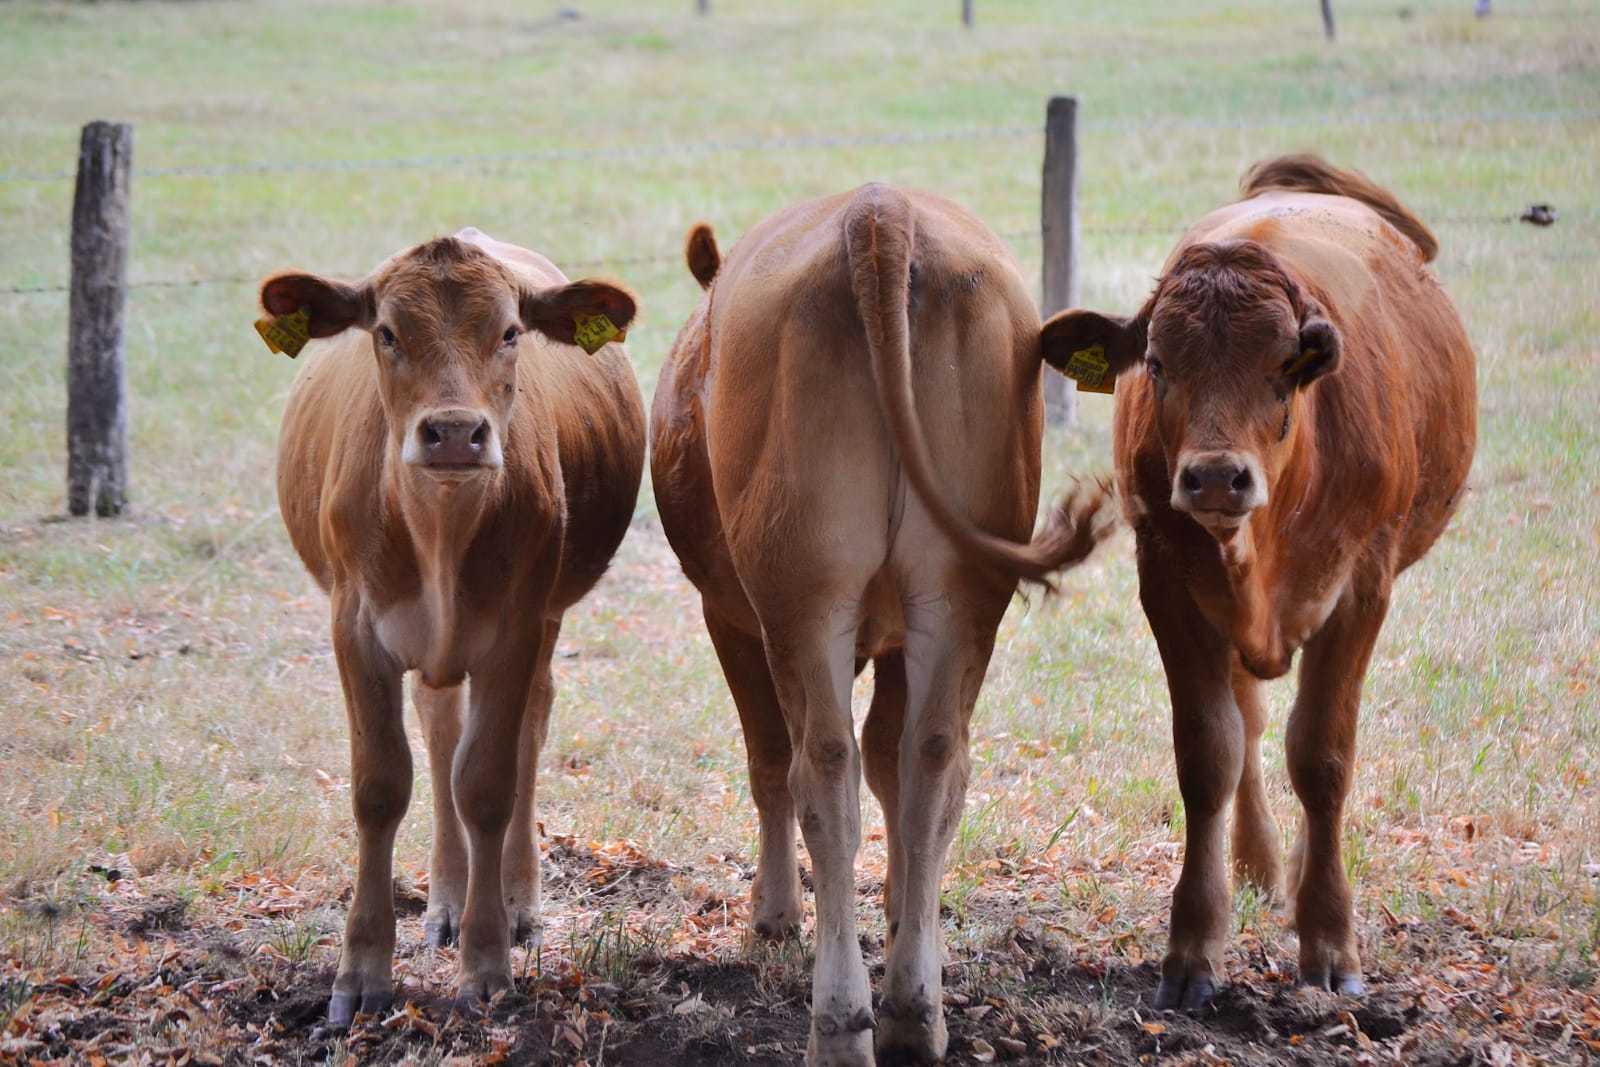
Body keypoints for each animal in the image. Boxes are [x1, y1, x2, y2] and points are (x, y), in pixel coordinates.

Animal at [259, 227, 640, 1023]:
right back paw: (445, 901)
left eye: (510, 331)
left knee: (527, 727)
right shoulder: (355, 630)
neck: (438, 525)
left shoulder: (518, 627)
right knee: (439, 731)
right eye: (386, 332)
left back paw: (514, 901)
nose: (456, 433)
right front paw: (361, 970)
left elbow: (489, 783)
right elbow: (381, 785)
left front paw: (487, 960)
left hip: (544, 619)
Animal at [1043, 154, 1478, 1004]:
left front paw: (1331, 939)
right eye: (1158, 363)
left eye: (1286, 366)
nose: (1216, 476)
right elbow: (1210, 751)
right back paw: (1257, 867)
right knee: (1244, 723)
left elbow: (1323, 755)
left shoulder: (1363, 584)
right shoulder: (1168, 582)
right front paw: (1193, 946)